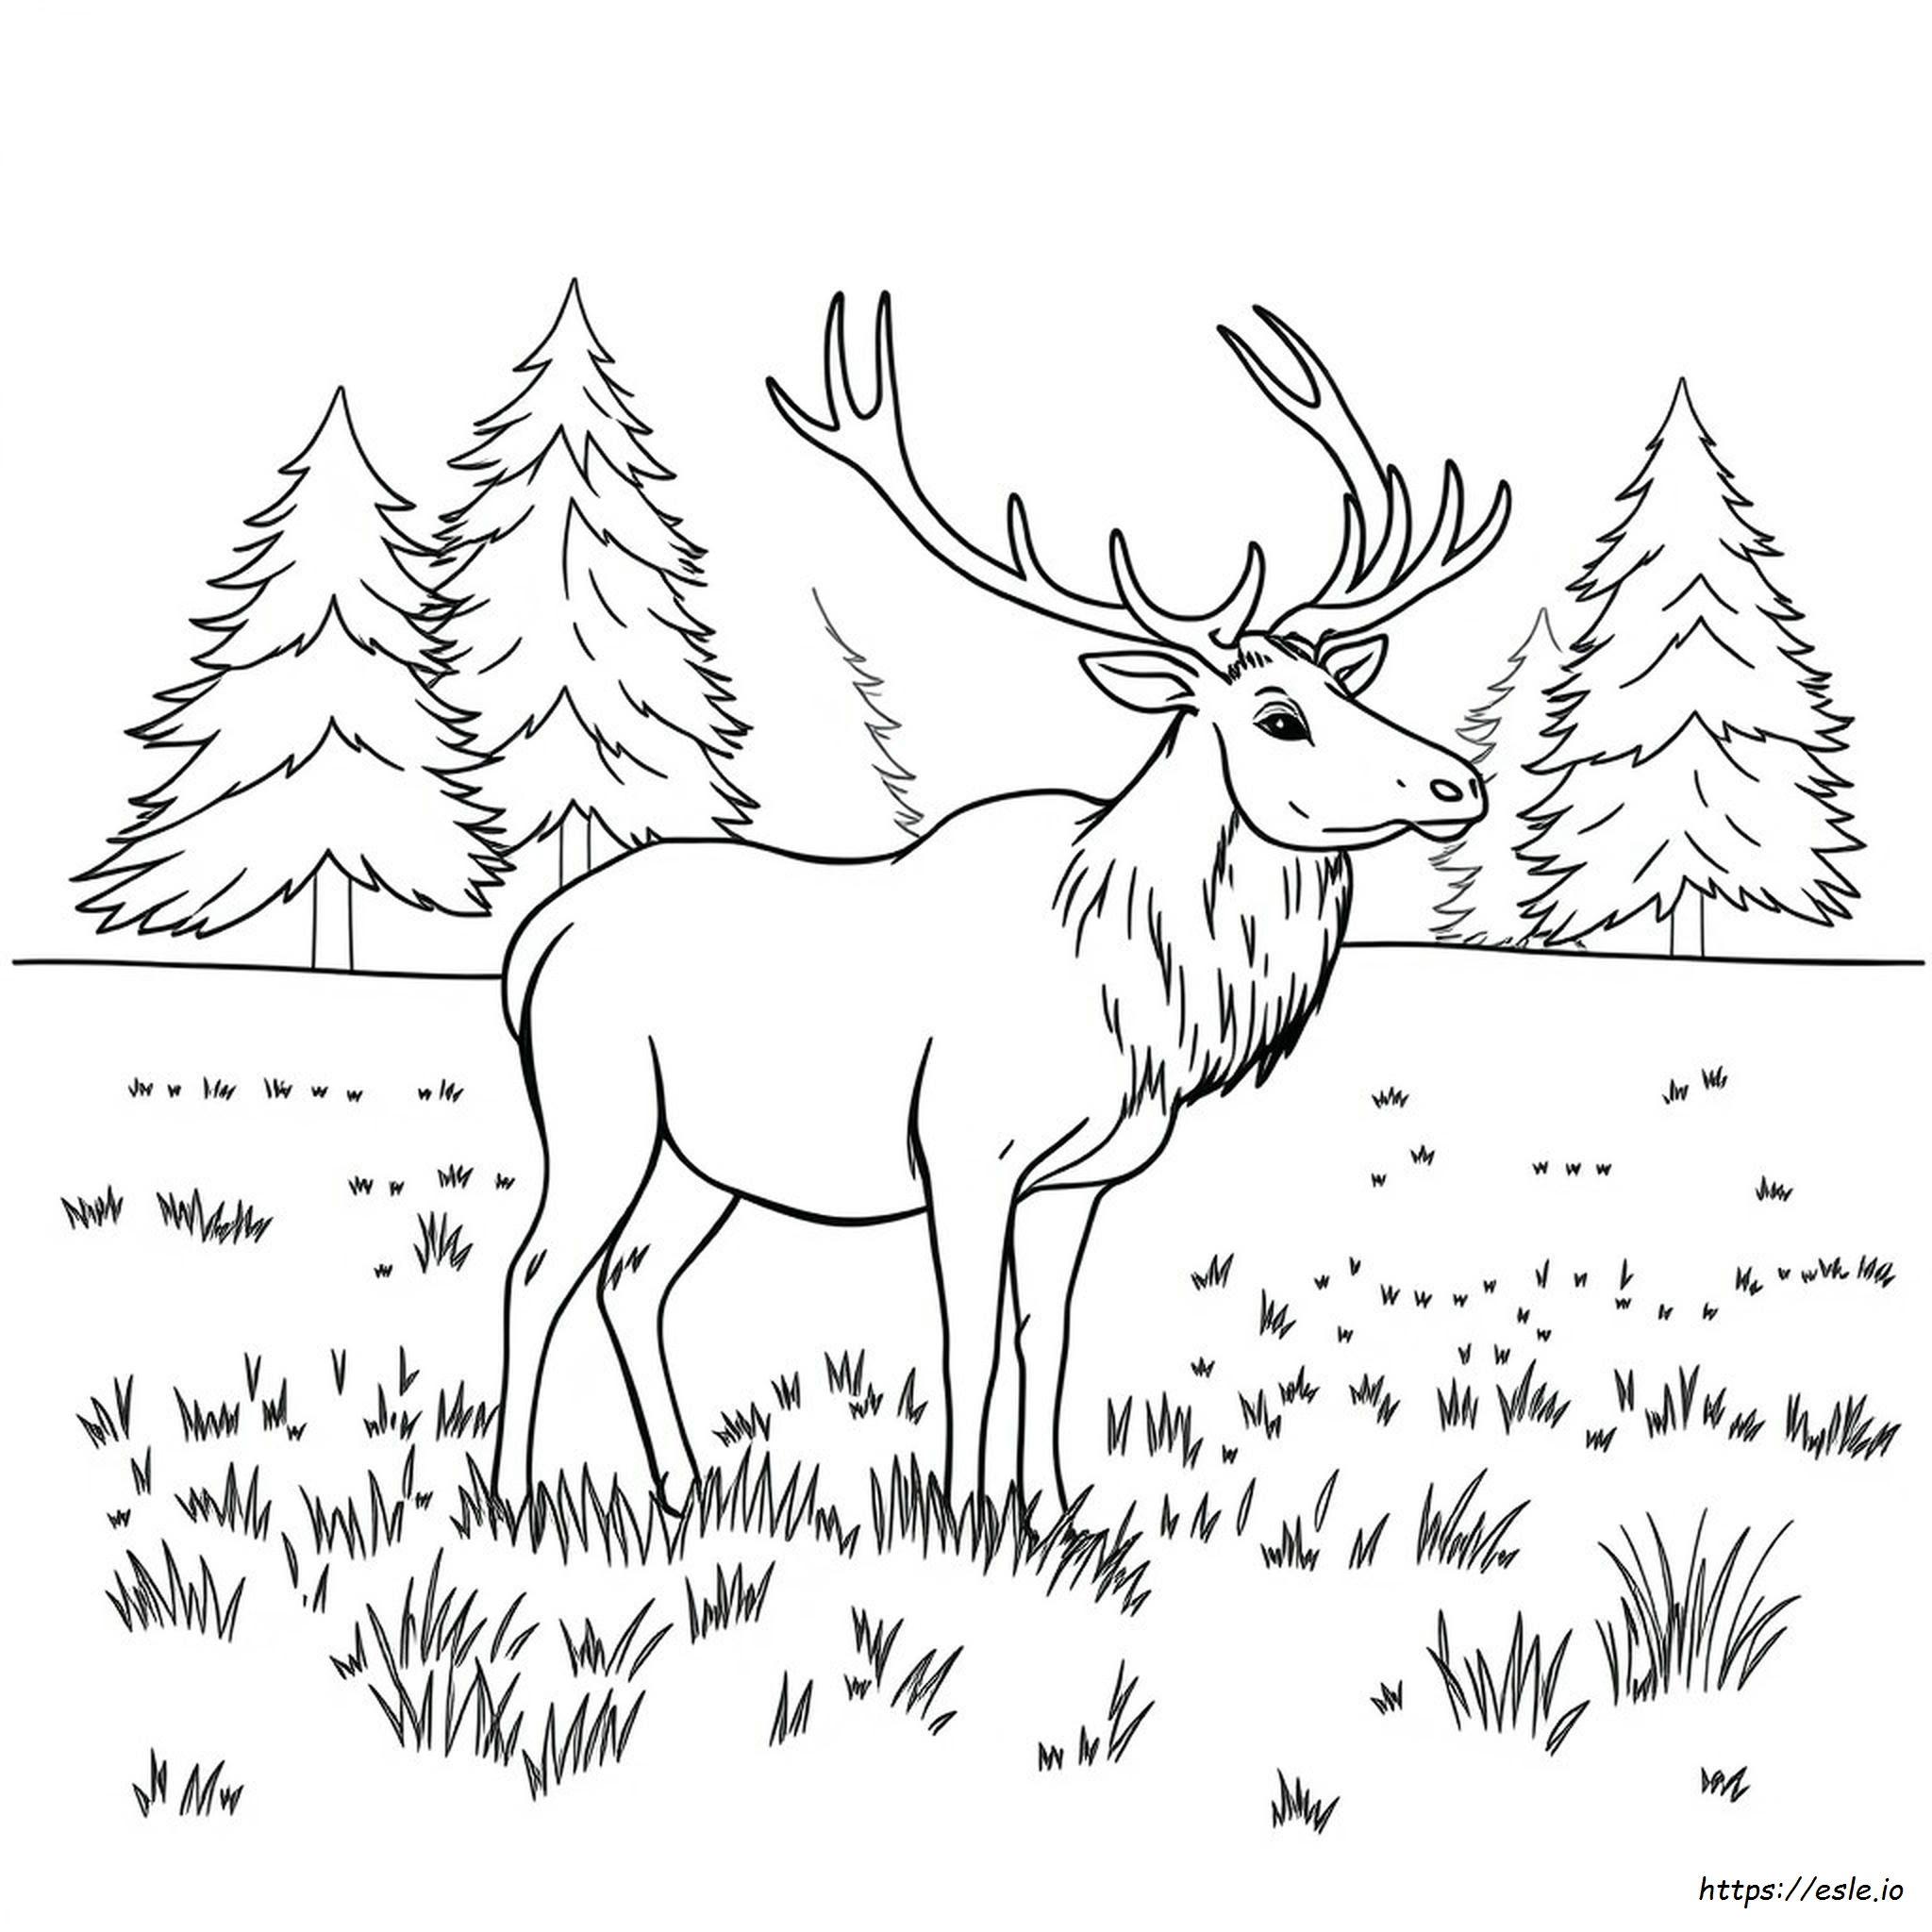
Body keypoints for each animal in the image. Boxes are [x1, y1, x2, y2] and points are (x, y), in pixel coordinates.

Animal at [489, 293, 1508, 1524]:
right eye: (1278, 716)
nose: (1459, 782)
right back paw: (508, 1495)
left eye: (1344, 687)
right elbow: (964, 1344)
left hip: (702, 1160)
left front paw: (1057, 1509)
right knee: (536, 1270)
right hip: (599, 1113)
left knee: (633, 1282)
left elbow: (1047, 1338)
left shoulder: (1078, 1179)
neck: (1140, 999)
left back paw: (688, 1489)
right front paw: (959, 1512)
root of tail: (533, 940)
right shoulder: (963, 1153)